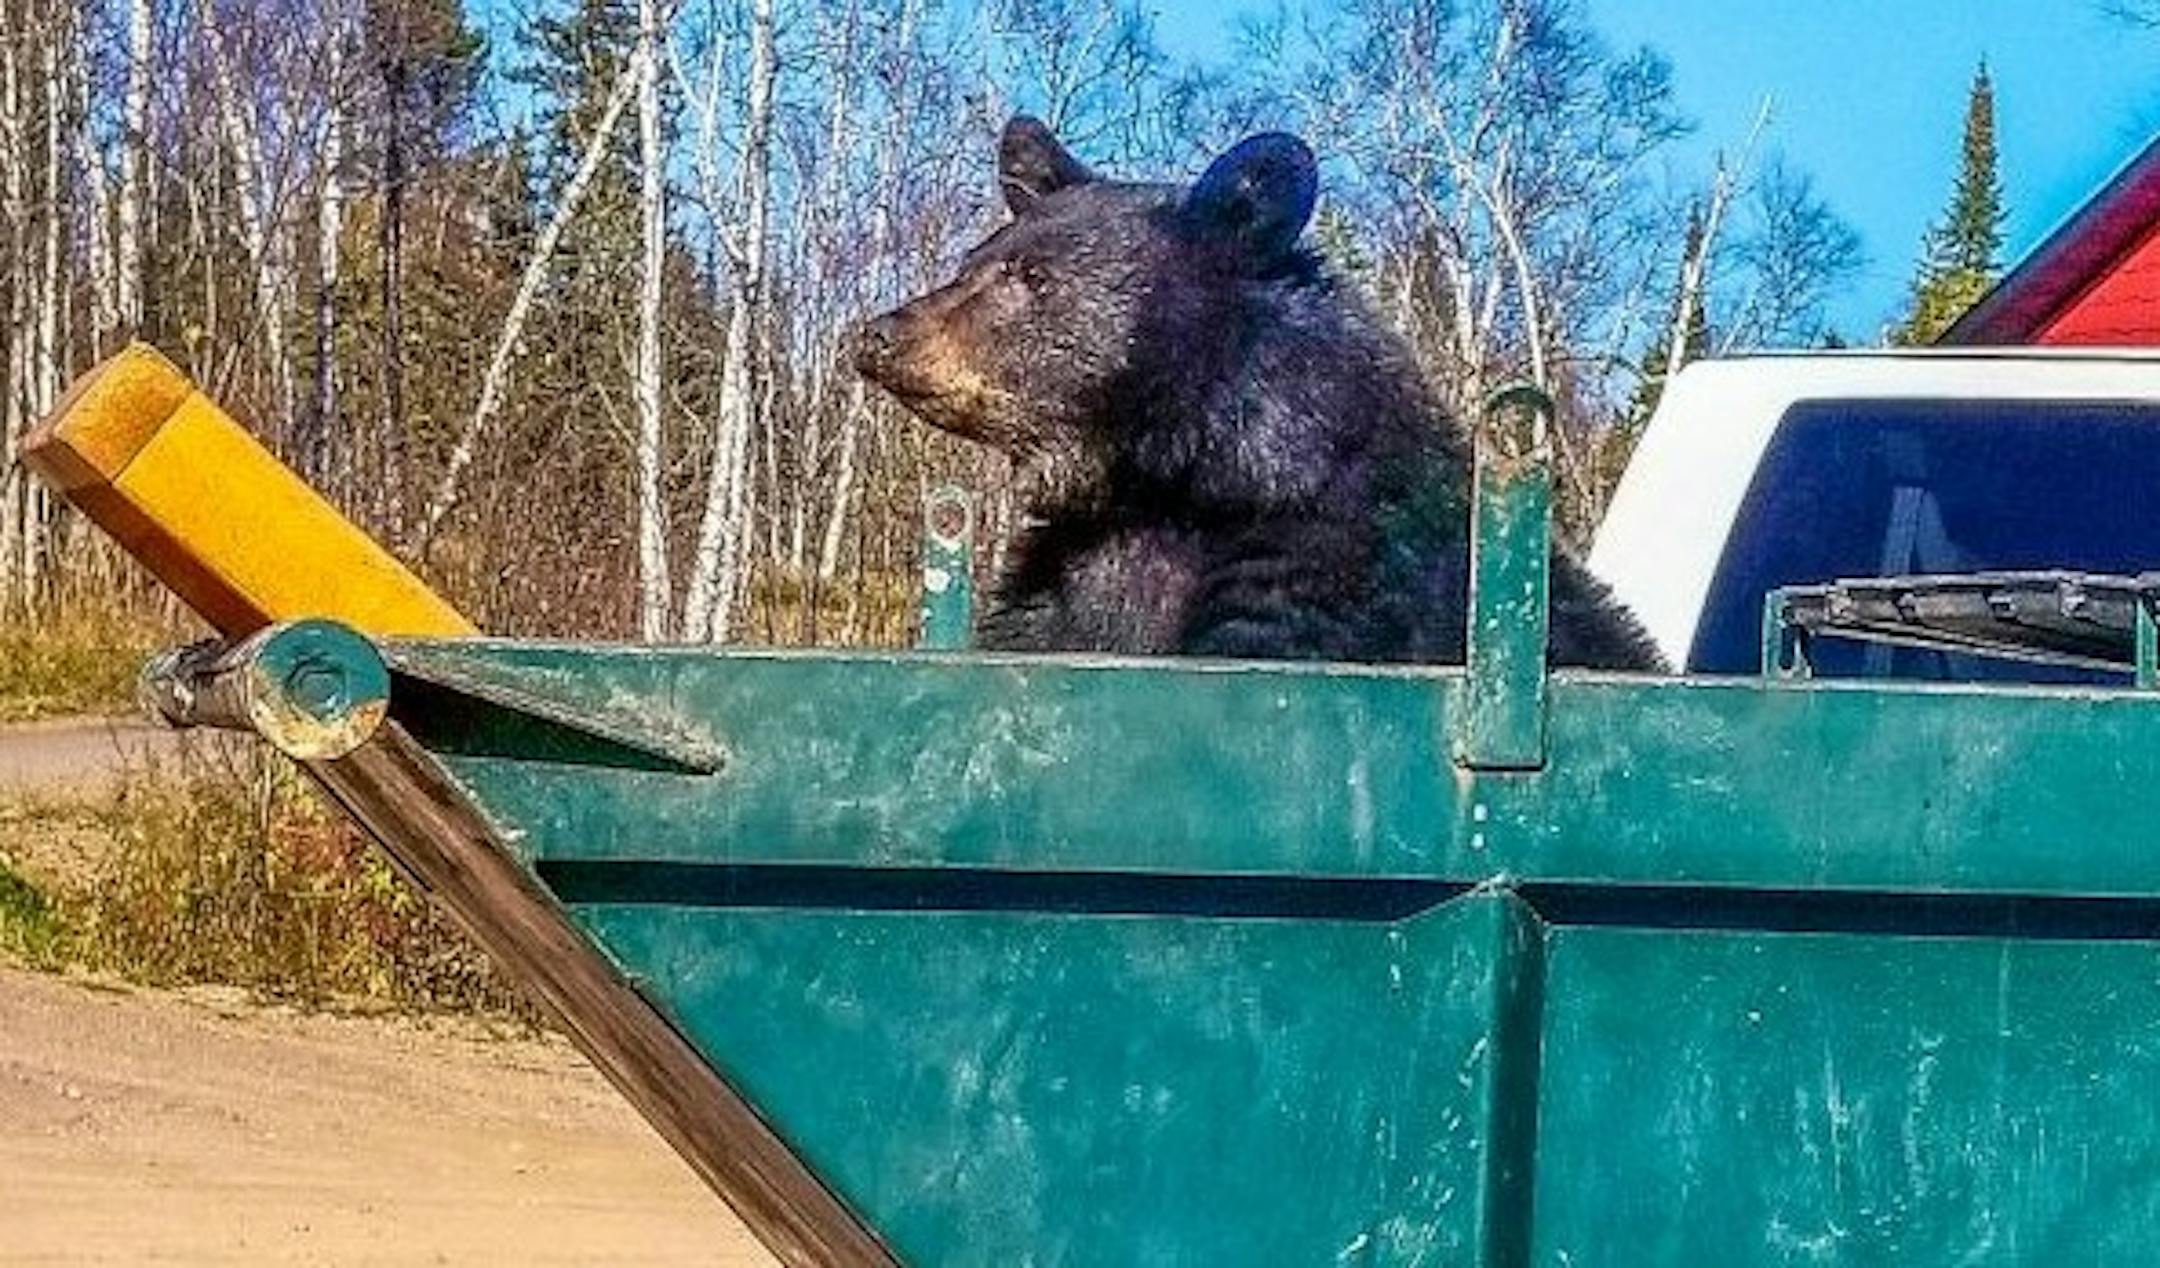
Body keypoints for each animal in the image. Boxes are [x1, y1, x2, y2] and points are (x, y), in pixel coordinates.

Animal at [853, 116, 1663, 672]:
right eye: (971, 261)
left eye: (1030, 277)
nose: (878, 334)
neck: (1166, 484)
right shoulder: (1062, 585)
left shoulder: (1318, 584)